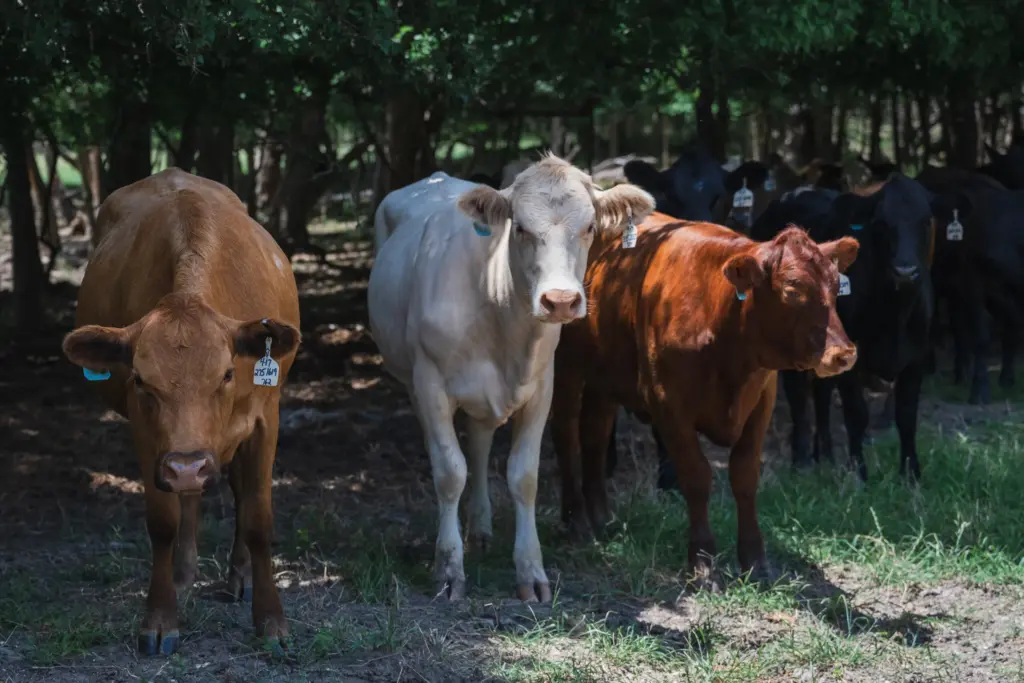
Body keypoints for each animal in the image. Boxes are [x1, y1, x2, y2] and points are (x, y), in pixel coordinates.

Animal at [61, 169, 301, 656]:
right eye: (139, 379)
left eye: (227, 373)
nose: (187, 466)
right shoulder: (148, 434)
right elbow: (164, 522)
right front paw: (159, 618)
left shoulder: (265, 419)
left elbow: (258, 518)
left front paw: (271, 621)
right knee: (191, 497)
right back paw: (185, 574)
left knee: (234, 488)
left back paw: (238, 576)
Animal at [367, 154, 654, 603]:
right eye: (519, 227)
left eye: (590, 227)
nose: (560, 301)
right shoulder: (431, 384)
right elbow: (450, 472)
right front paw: (448, 570)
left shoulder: (541, 388)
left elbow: (524, 476)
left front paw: (531, 571)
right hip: (411, 377)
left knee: (480, 443)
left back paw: (481, 528)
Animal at [552, 214, 858, 587]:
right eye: (792, 289)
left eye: (836, 286)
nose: (843, 354)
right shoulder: (668, 405)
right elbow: (697, 477)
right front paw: (702, 562)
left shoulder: (762, 401)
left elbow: (745, 476)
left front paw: (755, 560)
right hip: (565, 365)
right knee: (566, 435)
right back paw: (577, 522)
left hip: (604, 373)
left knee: (594, 434)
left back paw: (602, 518)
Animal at [751, 174, 936, 481]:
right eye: (881, 223)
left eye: (925, 221)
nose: (905, 271)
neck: (894, 314)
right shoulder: (852, 356)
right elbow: (856, 414)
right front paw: (858, 473)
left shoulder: (917, 357)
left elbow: (907, 416)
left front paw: (911, 475)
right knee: (798, 396)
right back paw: (802, 460)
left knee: (821, 394)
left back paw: (824, 454)